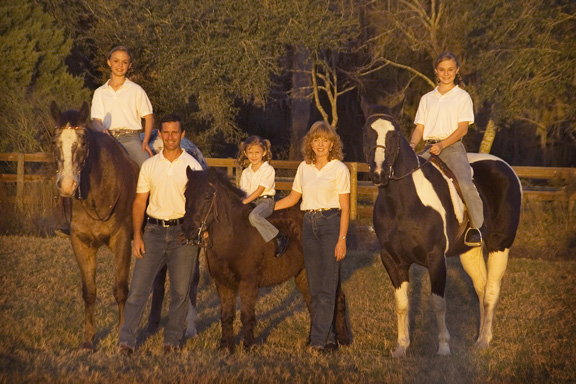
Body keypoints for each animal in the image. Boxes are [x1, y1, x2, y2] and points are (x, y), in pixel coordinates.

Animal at [51, 101, 140, 348]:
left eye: (83, 143)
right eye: (55, 143)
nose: (67, 185)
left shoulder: (122, 241)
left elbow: (120, 290)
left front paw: (122, 334)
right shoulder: (81, 243)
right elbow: (89, 291)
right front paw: (88, 339)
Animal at [182, 168, 352, 352]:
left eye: (207, 196)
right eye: (186, 194)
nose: (187, 230)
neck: (235, 235)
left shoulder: (248, 282)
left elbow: (246, 315)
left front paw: (249, 346)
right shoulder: (223, 283)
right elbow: (226, 315)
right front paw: (225, 347)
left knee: (338, 299)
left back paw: (343, 340)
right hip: (304, 274)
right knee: (312, 302)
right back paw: (311, 340)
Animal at [364, 104, 520, 356]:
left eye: (394, 134)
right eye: (366, 133)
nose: (379, 173)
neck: (403, 203)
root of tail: (505, 167)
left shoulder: (435, 258)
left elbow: (438, 303)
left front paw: (444, 347)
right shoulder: (392, 259)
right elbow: (401, 304)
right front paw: (401, 347)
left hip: (500, 245)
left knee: (491, 292)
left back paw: (484, 340)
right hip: (469, 250)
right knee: (481, 288)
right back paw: (479, 337)